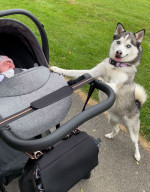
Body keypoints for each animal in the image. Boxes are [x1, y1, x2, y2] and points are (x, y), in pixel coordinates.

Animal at [51, 23, 147, 161]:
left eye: (128, 45)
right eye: (118, 42)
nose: (118, 52)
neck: (115, 65)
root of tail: (137, 104)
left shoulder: (116, 86)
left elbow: (107, 83)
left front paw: (99, 80)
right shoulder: (92, 71)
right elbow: (75, 71)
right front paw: (58, 69)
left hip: (133, 129)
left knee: (135, 142)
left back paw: (137, 155)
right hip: (112, 120)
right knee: (117, 129)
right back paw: (111, 135)